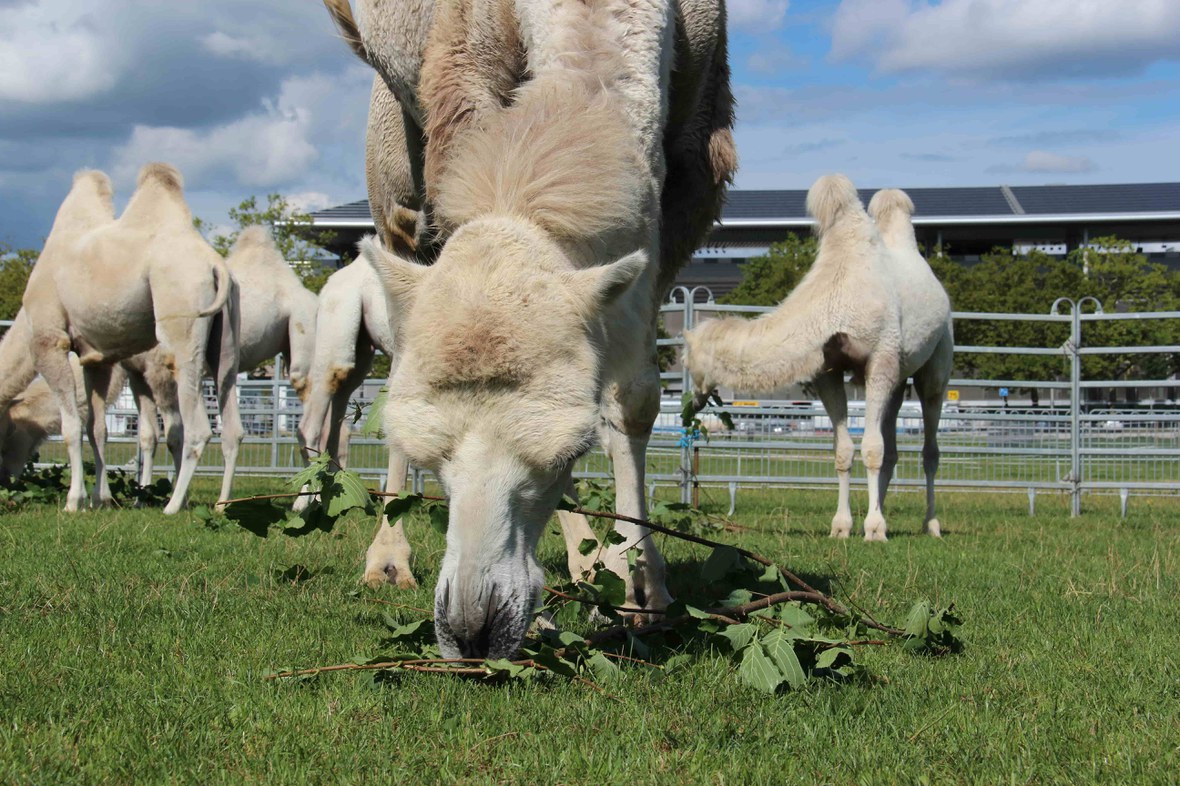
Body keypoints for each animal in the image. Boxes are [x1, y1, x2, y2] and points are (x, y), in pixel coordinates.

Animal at [18, 161, 240, 512]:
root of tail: (216, 266)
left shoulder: (49, 341)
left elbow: (71, 427)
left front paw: (74, 501)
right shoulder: (95, 359)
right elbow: (96, 428)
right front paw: (102, 499)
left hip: (182, 326)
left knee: (198, 428)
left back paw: (173, 506)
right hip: (226, 340)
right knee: (232, 425)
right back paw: (222, 504)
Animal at [328, 0, 731, 656]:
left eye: (572, 450)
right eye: (433, 456)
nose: (472, 628)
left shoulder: (692, 173)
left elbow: (635, 398)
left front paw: (645, 588)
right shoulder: (457, 72)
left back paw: (595, 566)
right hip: (391, 176)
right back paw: (389, 559)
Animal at [684, 174, 948, 538]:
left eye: (688, 362)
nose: (692, 402)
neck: (836, 299)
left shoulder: (880, 360)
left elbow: (871, 448)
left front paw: (873, 529)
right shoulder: (828, 370)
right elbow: (844, 450)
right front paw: (842, 527)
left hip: (936, 361)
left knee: (929, 447)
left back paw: (931, 524)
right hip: (899, 377)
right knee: (892, 446)